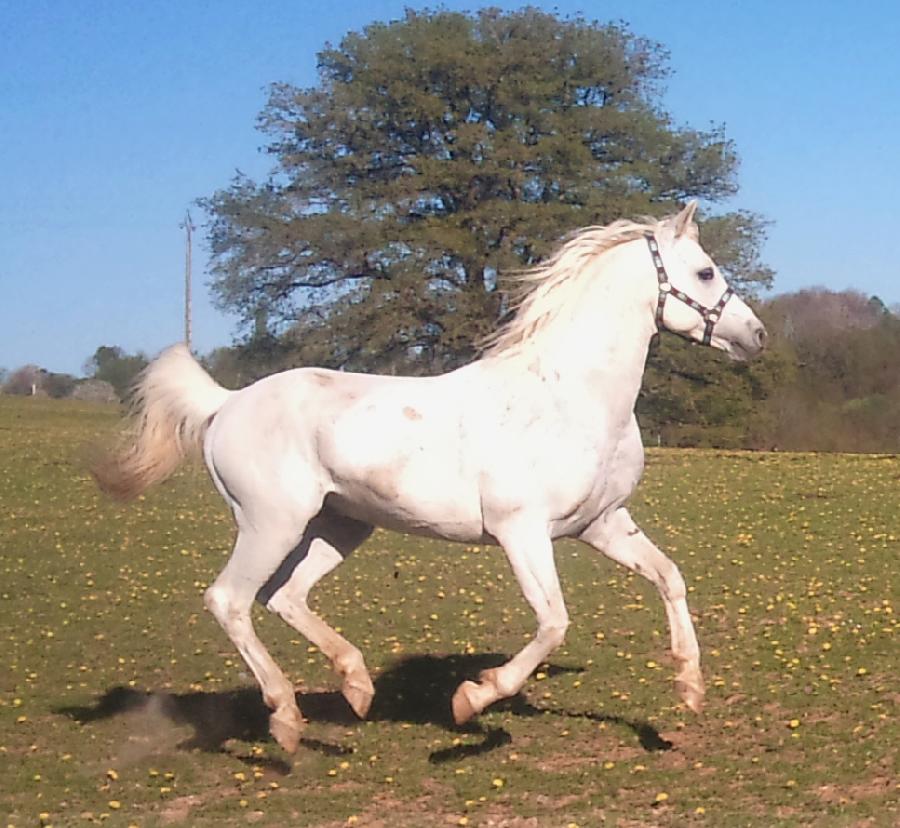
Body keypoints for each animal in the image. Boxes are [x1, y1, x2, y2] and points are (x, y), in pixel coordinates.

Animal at [91, 204, 768, 752]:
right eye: (705, 273)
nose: (756, 336)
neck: (571, 396)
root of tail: (226, 404)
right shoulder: (523, 533)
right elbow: (553, 624)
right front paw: (472, 700)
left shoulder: (601, 524)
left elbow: (669, 578)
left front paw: (689, 688)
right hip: (271, 523)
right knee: (230, 600)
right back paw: (286, 719)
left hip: (339, 527)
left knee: (284, 597)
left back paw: (357, 688)